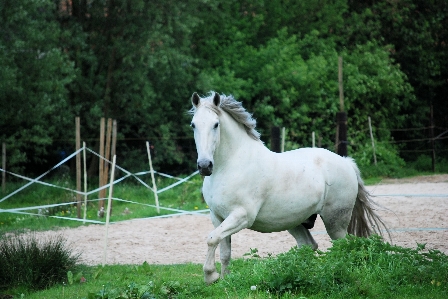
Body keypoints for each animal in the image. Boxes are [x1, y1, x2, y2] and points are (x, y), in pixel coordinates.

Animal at [189, 92, 388, 286]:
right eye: (193, 125)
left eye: (216, 124)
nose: (204, 166)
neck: (231, 165)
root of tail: (346, 162)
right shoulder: (218, 217)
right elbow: (224, 250)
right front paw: (224, 280)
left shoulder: (242, 216)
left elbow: (211, 239)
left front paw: (210, 276)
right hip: (295, 222)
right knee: (309, 245)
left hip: (336, 222)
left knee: (342, 246)